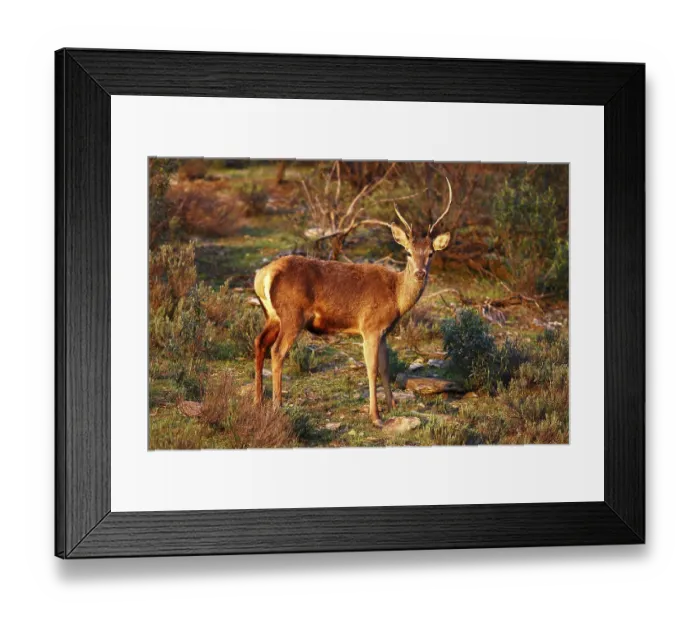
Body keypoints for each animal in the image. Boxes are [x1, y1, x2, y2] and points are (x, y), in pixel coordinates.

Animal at [253, 178, 453, 428]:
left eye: (431, 253)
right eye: (407, 252)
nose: (419, 273)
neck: (396, 297)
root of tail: (263, 275)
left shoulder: (383, 331)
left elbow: (386, 368)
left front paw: (392, 405)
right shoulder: (370, 326)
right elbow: (372, 369)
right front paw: (375, 416)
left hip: (272, 316)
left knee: (259, 342)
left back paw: (258, 401)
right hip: (292, 315)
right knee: (277, 350)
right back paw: (277, 406)